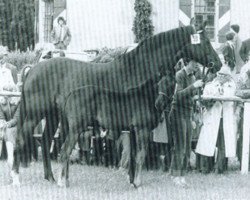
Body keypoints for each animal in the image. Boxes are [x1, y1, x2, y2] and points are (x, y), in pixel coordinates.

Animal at [12, 23, 222, 186]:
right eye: (205, 42)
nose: (218, 64)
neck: (138, 68)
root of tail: (33, 69)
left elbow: (134, 154)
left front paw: (132, 179)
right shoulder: (135, 126)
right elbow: (135, 153)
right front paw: (134, 180)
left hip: (53, 114)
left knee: (46, 139)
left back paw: (51, 178)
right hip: (35, 113)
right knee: (21, 138)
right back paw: (16, 177)